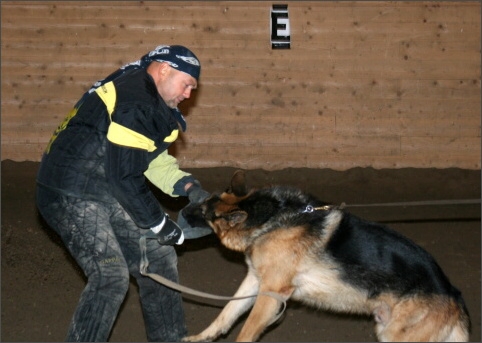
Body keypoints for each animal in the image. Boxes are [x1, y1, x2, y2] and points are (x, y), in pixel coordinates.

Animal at [181, 171, 466, 342]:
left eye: (204, 213)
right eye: (205, 202)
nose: (181, 213)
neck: (275, 217)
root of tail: (452, 292)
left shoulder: (272, 293)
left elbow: (246, 330)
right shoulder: (255, 281)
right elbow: (226, 313)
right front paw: (201, 337)